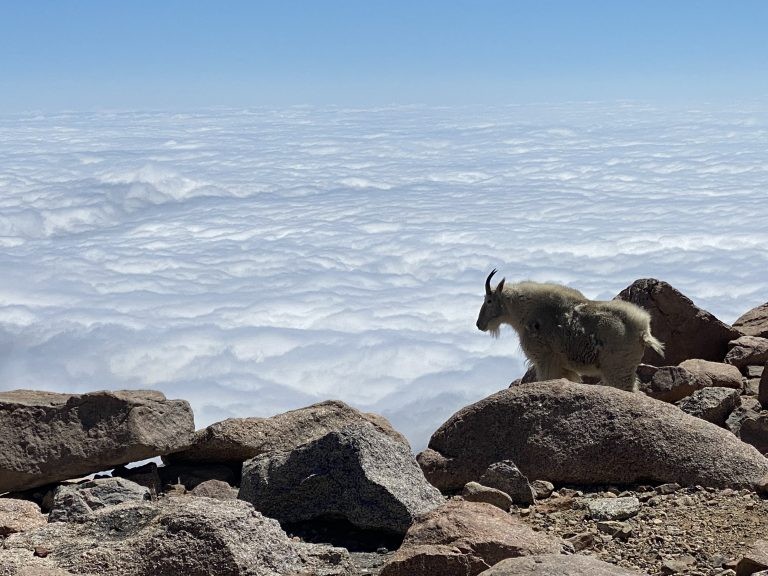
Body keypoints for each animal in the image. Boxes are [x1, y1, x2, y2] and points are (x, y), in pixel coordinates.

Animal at [476, 269, 664, 392]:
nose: (479, 324)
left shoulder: (545, 359)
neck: (525, 312)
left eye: (489, 300)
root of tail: (644, 331)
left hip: (617, 368)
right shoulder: (562, 366)